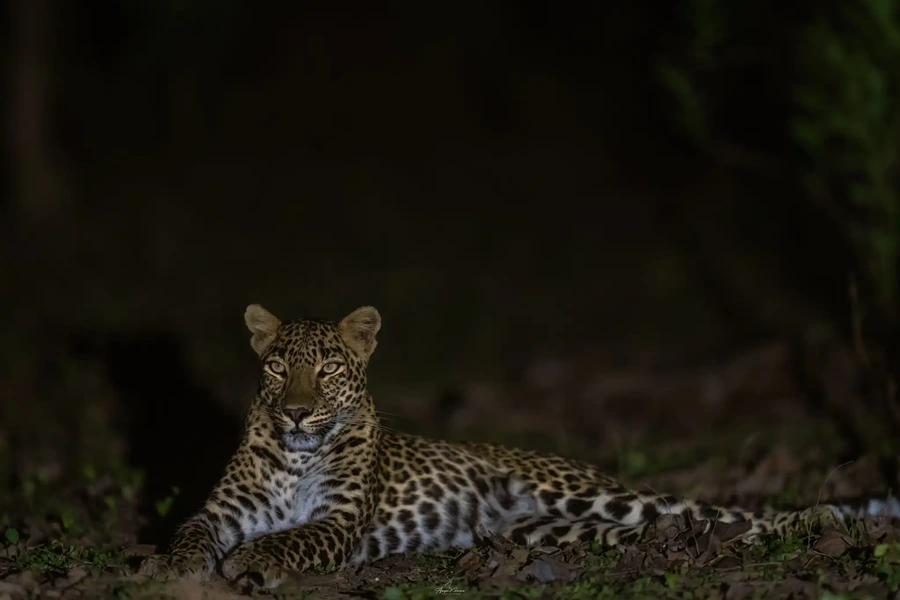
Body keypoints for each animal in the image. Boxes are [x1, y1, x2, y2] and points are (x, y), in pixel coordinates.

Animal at [140, 304, 900, 593]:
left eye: (326, 369)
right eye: (276, 368)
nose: (296, 412)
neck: (299, 453)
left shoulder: (338, 521)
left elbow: (289, 538)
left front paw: (253, 564)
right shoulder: (222, 511)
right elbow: (189, 532)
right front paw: (168, 569)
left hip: (597, 493)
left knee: (723, 513)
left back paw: (824, 520)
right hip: (566, 530)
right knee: (697, 526)